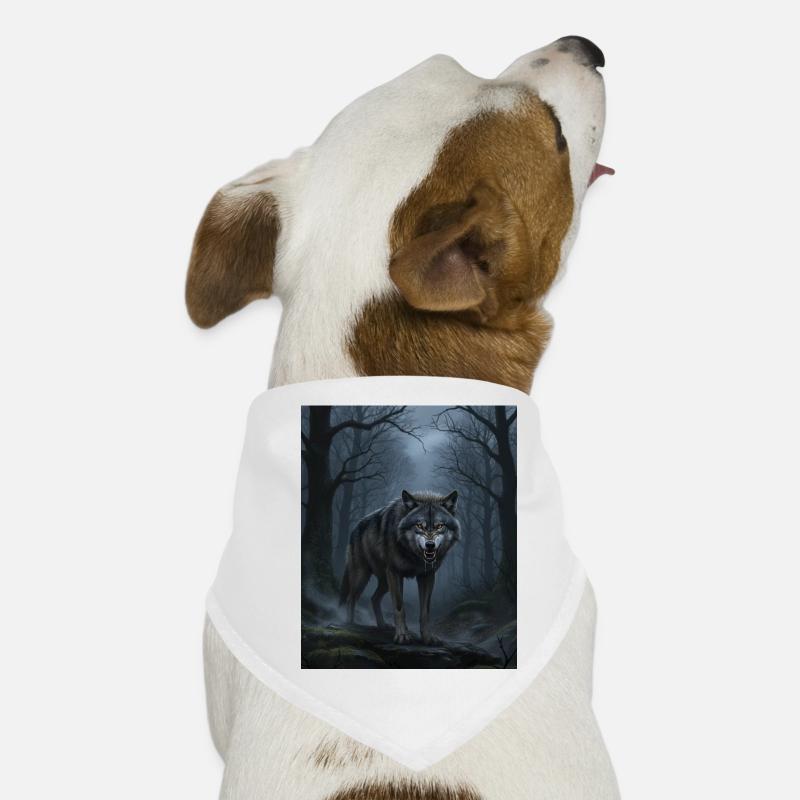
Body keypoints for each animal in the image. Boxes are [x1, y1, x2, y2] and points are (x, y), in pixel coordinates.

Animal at [340, 490, 460, 644]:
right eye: (419, 526)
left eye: (439, 526)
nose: (430, 545)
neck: (414, 555)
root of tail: (355, 528)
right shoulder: (395, 573)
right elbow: (399, 607)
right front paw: (402, 635)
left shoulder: (427, 576)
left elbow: (425, 611)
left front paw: (427, 637)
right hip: (362, 577)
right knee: (351, 599)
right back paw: (350, 624)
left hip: (384, 582)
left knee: (374, 598)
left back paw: (382, 625)